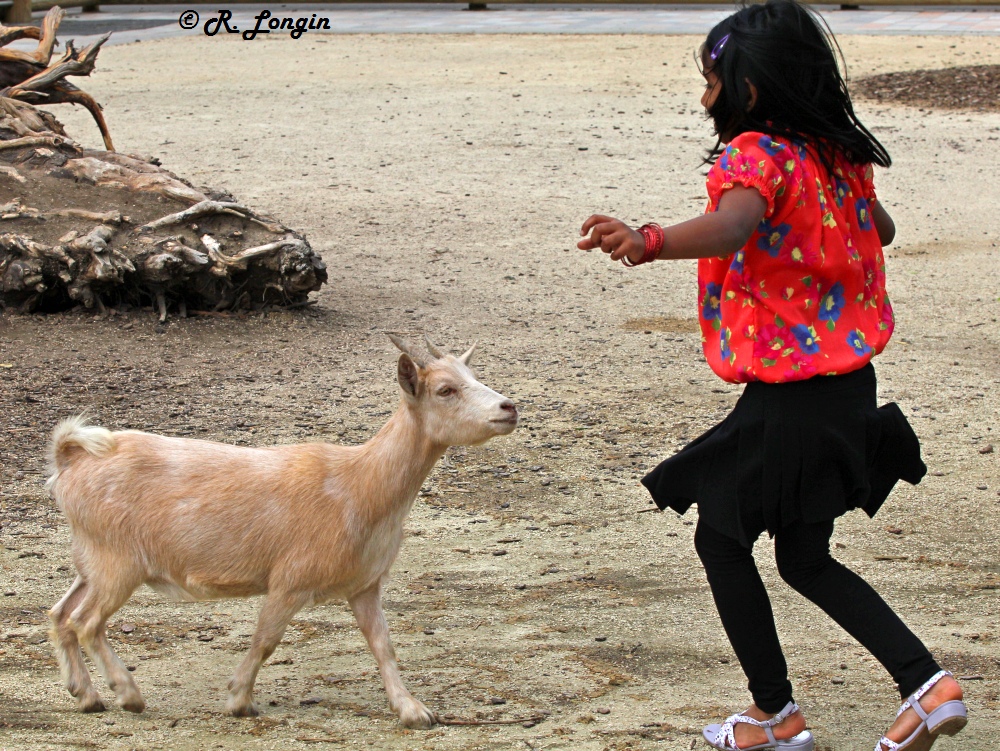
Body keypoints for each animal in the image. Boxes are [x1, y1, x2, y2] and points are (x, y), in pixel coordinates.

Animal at [44, 338, 520, 732]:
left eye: (473, 376)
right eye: (445, 390)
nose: (508, 408)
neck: (360, 484)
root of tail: (70, 460)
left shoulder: (365, 584)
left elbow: (383, 645)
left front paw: (412, 709)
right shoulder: (290, 579)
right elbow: (267, 639)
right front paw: (238, 700)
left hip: (92, 560)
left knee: (60, 614)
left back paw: (85, 695)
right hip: (117, 562)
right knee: (86, 622)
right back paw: (128, 694)